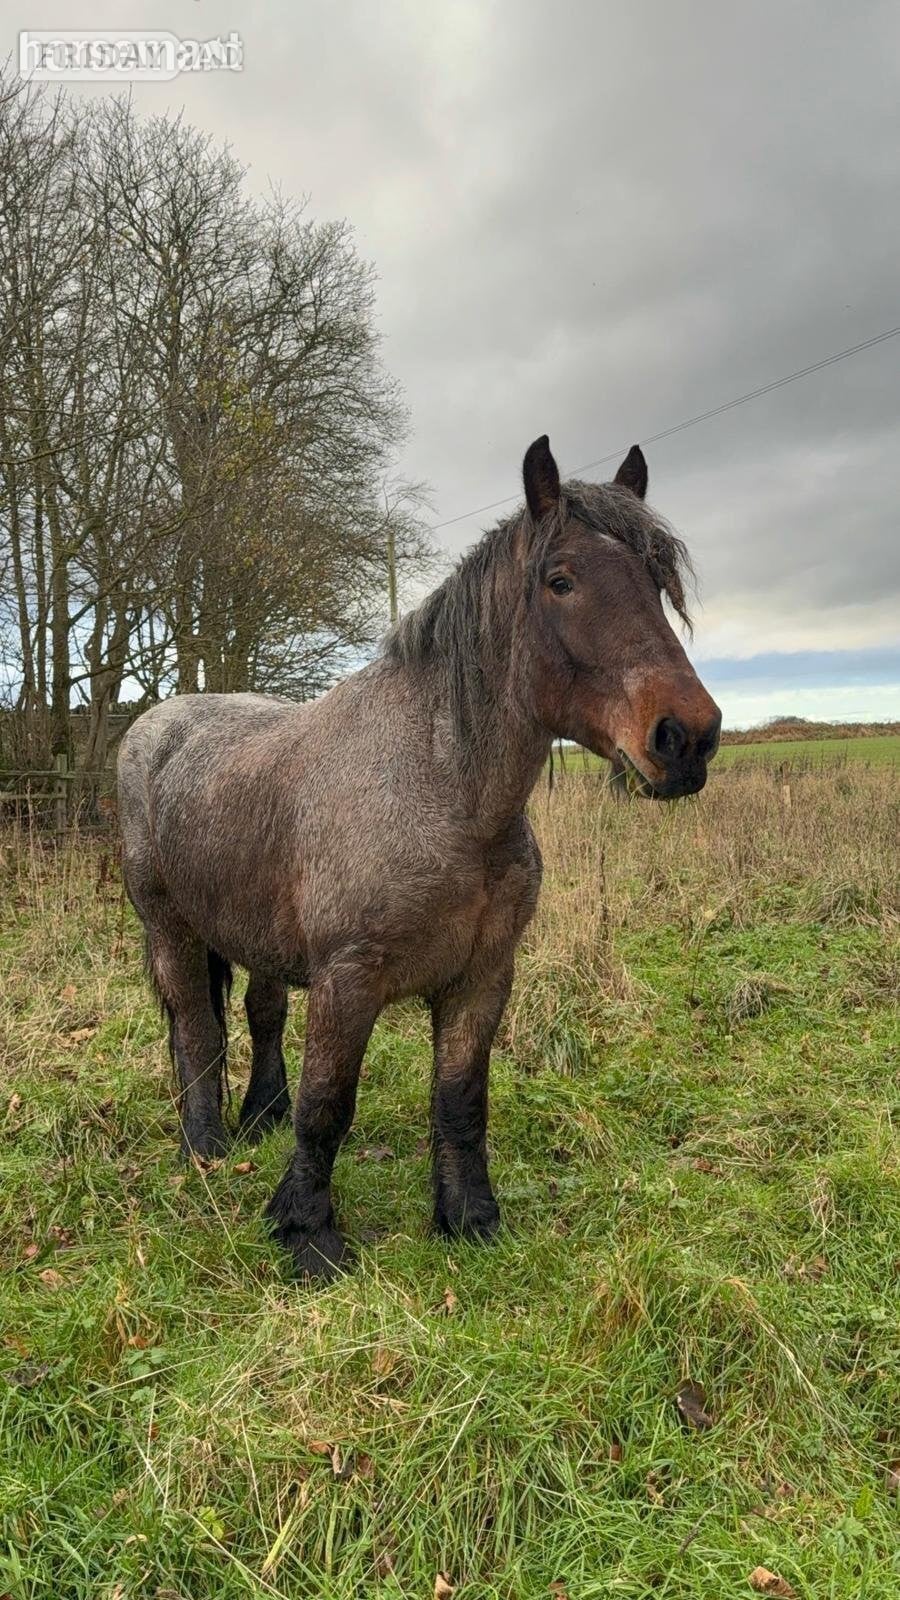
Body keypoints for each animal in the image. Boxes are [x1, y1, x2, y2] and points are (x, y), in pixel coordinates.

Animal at [118, 436, 721, 1280]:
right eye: (560, 580)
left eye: (658, 583)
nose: (687, 737)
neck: (444, 791)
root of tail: (158, 724)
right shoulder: (349, 980)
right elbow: (328, 1106)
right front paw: (307, 1235)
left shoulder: (482, 976)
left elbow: (460, 1098)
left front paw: (469, 1218)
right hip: (169, 927)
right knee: (196, 1031)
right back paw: (203, 1149)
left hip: (253, 935)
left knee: (259, 1014)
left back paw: (257, 1117)